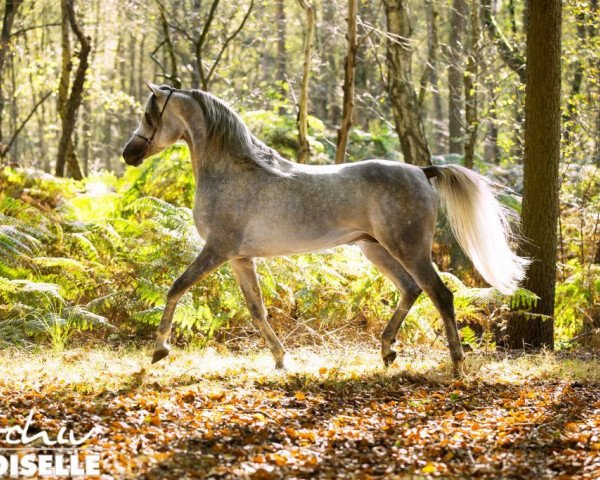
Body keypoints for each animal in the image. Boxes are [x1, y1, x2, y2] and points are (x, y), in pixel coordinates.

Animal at [123, 80, 528, 376]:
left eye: (148, 115)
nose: (129, 154)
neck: (233, 172)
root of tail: (421, 170)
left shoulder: (217, 250)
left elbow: (176, 287)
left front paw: (159, 350)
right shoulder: (239, 259)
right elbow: (258, 311)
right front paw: (280, 359)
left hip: (408, 247)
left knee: (440, 294)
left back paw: (457, 364)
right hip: (375, 248)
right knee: (411, 289)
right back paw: (387, 350)